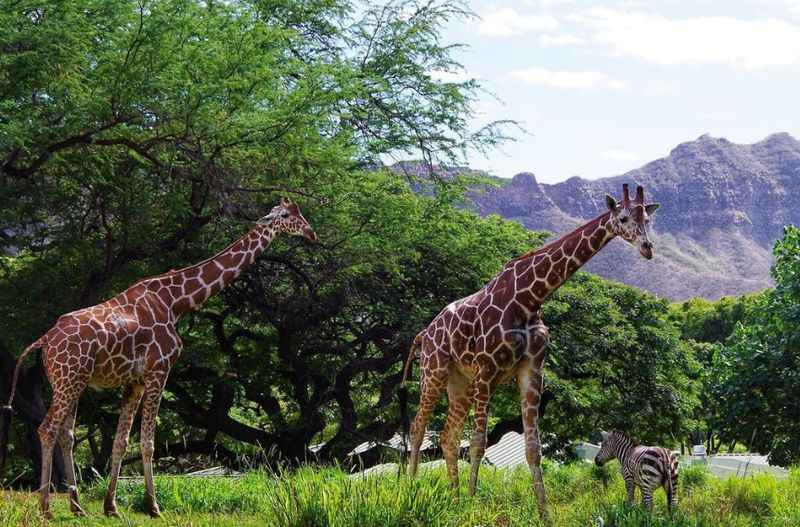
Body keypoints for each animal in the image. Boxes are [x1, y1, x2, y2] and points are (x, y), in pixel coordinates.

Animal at [0, 198, 318, 520]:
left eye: (300, 213)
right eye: (287, 215)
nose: (312, 233)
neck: (176, 302)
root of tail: (44, 341)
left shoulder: (135, 382)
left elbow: (120, 442)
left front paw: (111, 507)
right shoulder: (159, 370)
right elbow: (148, 443)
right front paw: (153, 507)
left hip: (70, 382)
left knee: (66, 434)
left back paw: (77, 508)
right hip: (69, 379)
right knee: (47, 428)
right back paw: (46, 508)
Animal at [404, 184, 660, 520]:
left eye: (649, 219)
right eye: (623, 217)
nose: (647, 248)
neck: (529, 299)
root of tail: (424, 332)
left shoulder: (531, 369)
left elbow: (533, 449)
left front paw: (544, 512)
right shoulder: (487, 369)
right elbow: (478, 443)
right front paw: (474, 506)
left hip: (459, 383)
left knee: (448, 437)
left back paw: (453, 498)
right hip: (433, 372)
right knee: (418, 427)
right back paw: (410, 488)